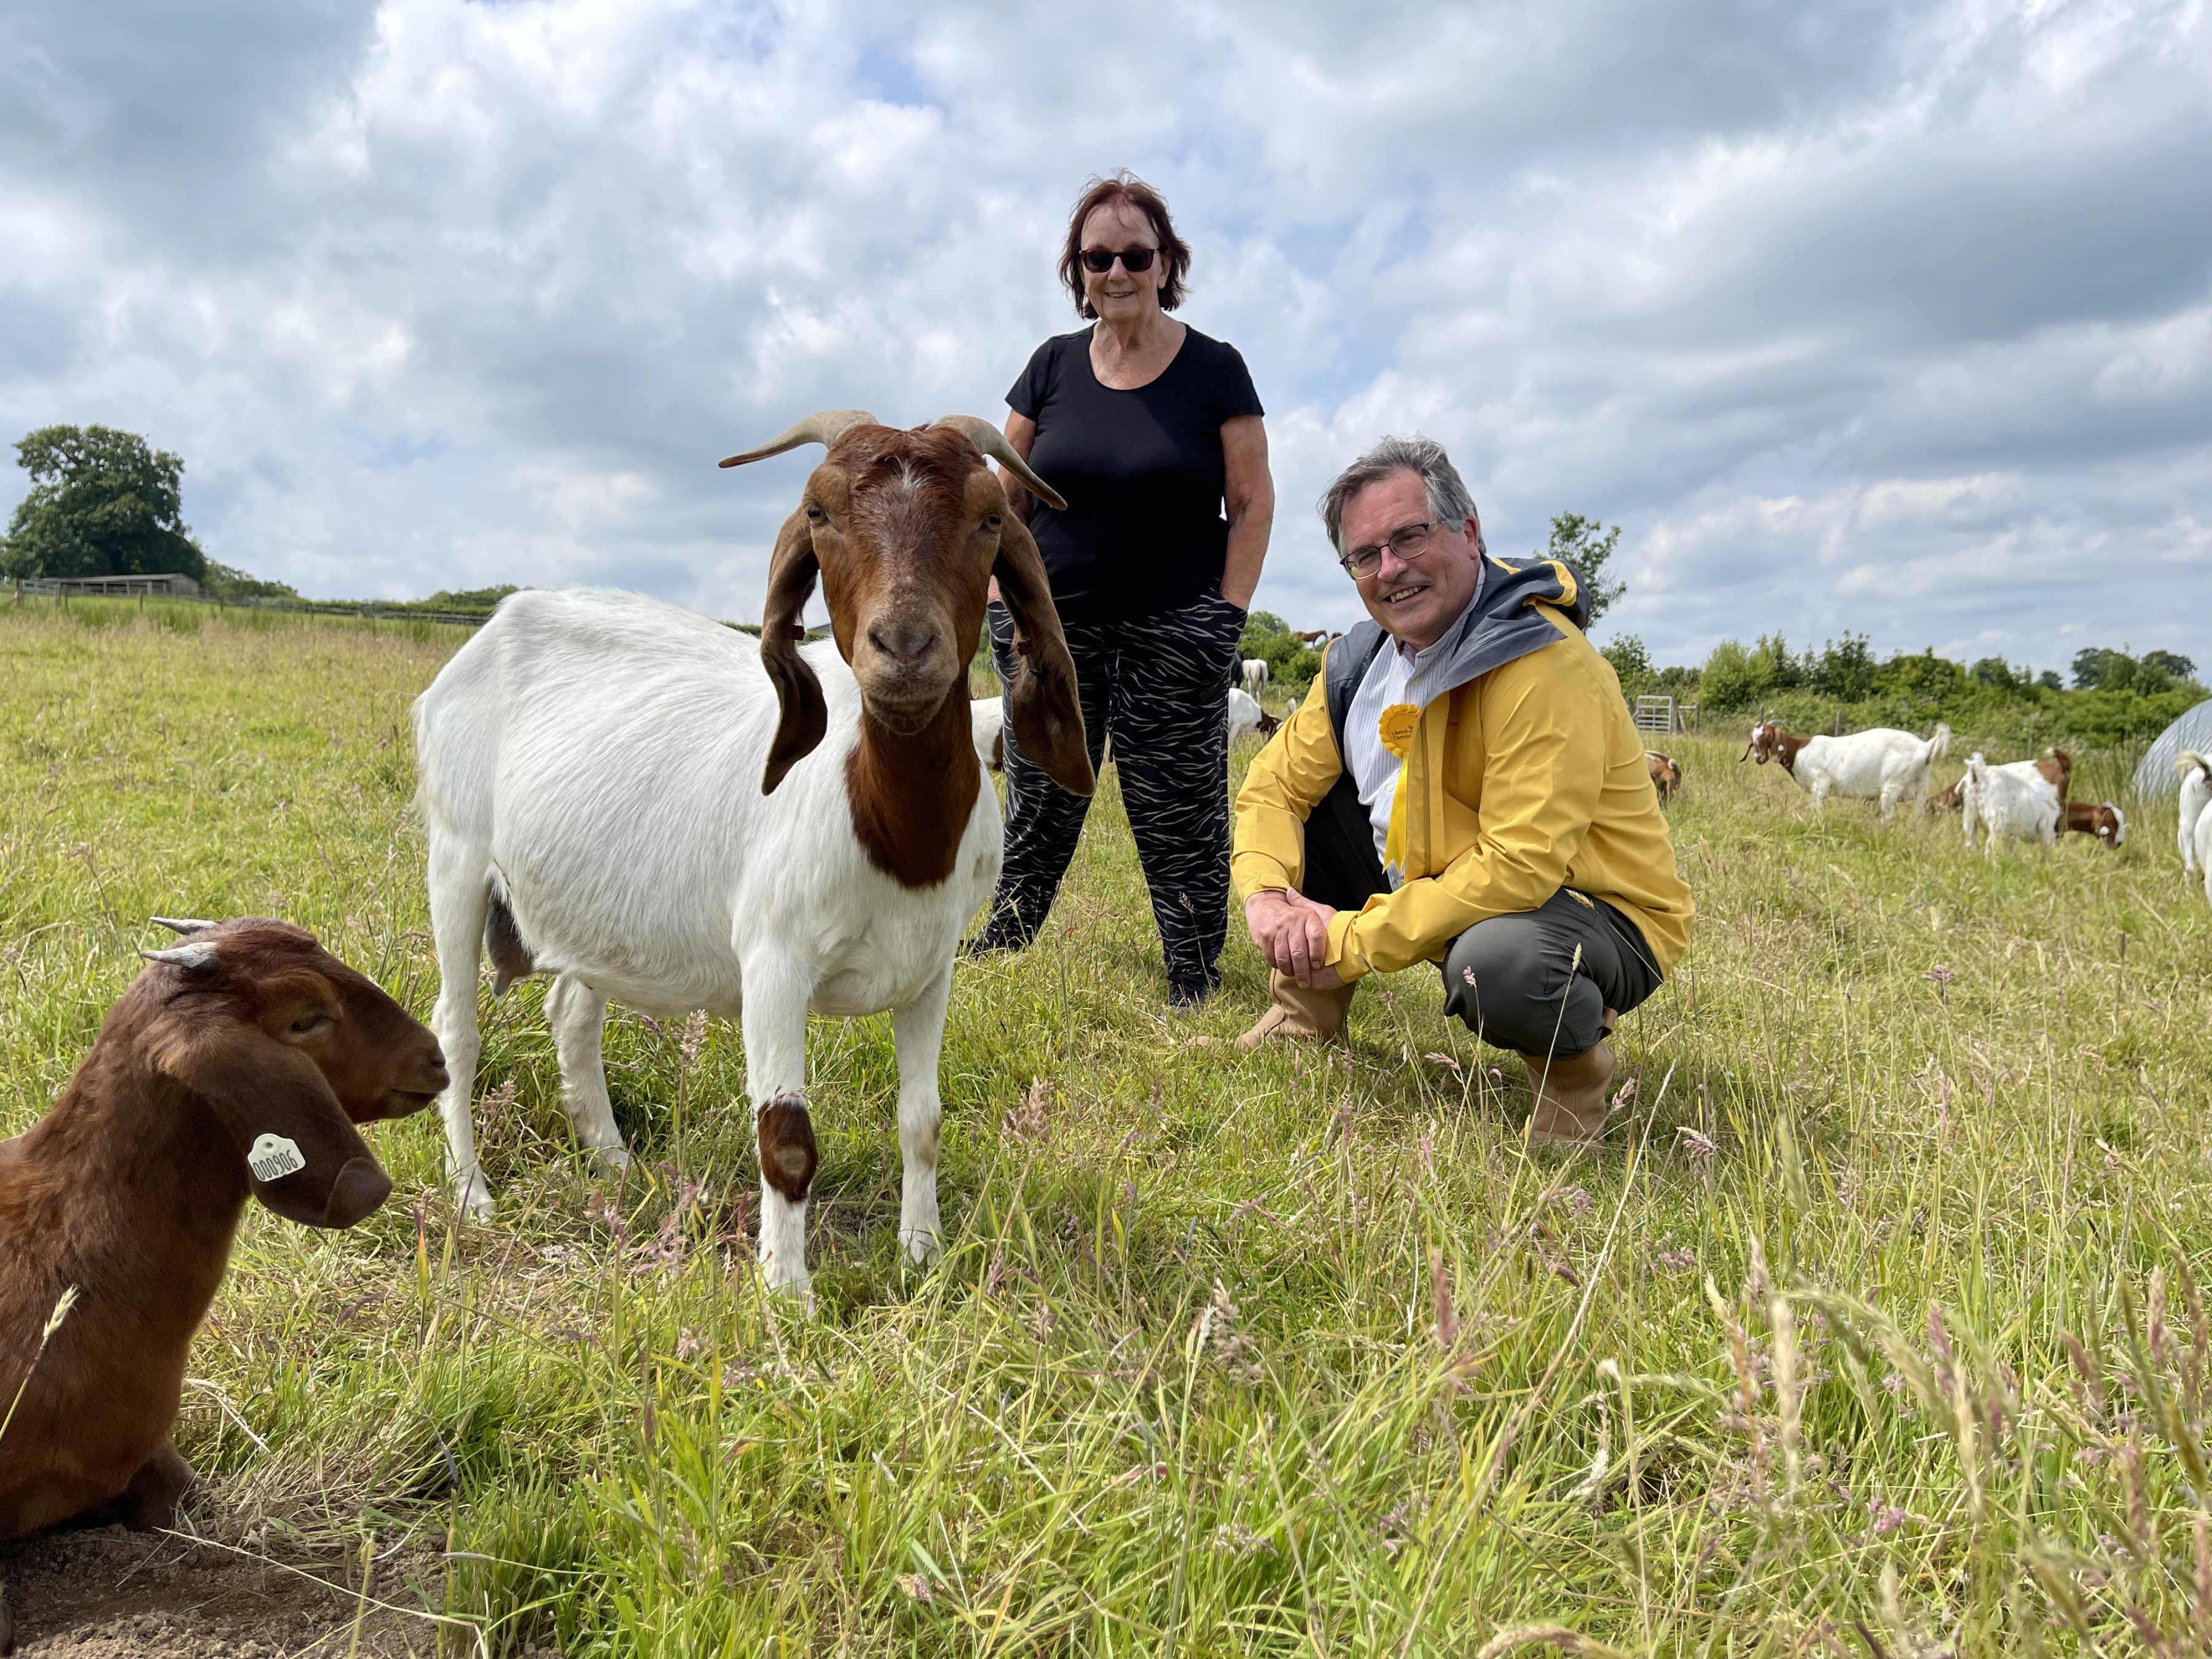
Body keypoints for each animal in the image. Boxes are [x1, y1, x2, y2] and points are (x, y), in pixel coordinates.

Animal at [414, 409, 1088, 1309]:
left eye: (988, 518)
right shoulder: (773, 960)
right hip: (455, 857)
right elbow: (787, 1135)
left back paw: (617, 1164)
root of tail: (493, 628)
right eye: (819, 514)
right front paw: (788, 1294)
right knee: (455, 1027)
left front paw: (922, 1253)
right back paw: (472, 1194)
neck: (891, 829)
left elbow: (924, 1119)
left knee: (572, 1012)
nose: (905, 647)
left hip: (593, 903)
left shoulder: (931, 966)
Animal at [1743, 716, 1955, 823]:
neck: (1800, 750)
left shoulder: (1820, 784)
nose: (1758, 758)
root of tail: (1926, 747)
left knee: (1888, 815)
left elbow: (1815, 809)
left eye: (1769, 736)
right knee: (1918, 814)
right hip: (1922, 787)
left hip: (1893, 785)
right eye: (1753, 739)